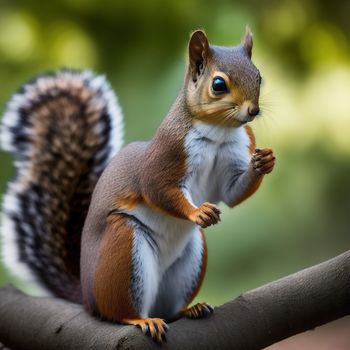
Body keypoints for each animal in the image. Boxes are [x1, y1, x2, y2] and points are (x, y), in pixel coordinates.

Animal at [1, 29, 274, 342]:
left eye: (259, 76)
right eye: (218, 84)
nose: (253, 111)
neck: (219, 132)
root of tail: (87, 297)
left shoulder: (236, 153)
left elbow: (232, 194)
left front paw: (263, 162)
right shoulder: (164, 157)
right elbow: (156, 189)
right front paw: (197, 212)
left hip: (189, 258)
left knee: (169, 307)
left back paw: (188, 310)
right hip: (122, 248)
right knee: (118, 311)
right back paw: (139, 319)